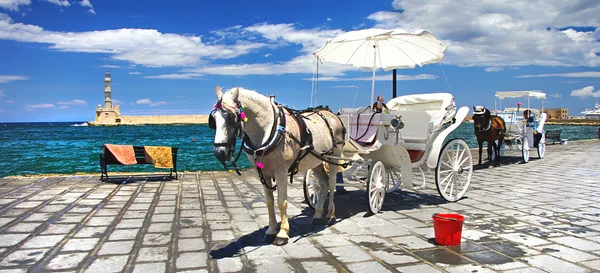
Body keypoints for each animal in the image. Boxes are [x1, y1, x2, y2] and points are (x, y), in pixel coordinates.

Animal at [211, 85, 344, 244]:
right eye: (213, 119)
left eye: (232, 118)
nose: (220, 152)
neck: (270, 129)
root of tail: (331, 114)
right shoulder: (262, 173)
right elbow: (269, 202)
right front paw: (270, 230)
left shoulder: (281, 171)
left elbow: (281, 201)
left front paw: (282, 233)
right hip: (316, 160)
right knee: (323, 183)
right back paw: (317, 214)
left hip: (334, 155)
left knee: (331, 183)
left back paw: (330, 215)